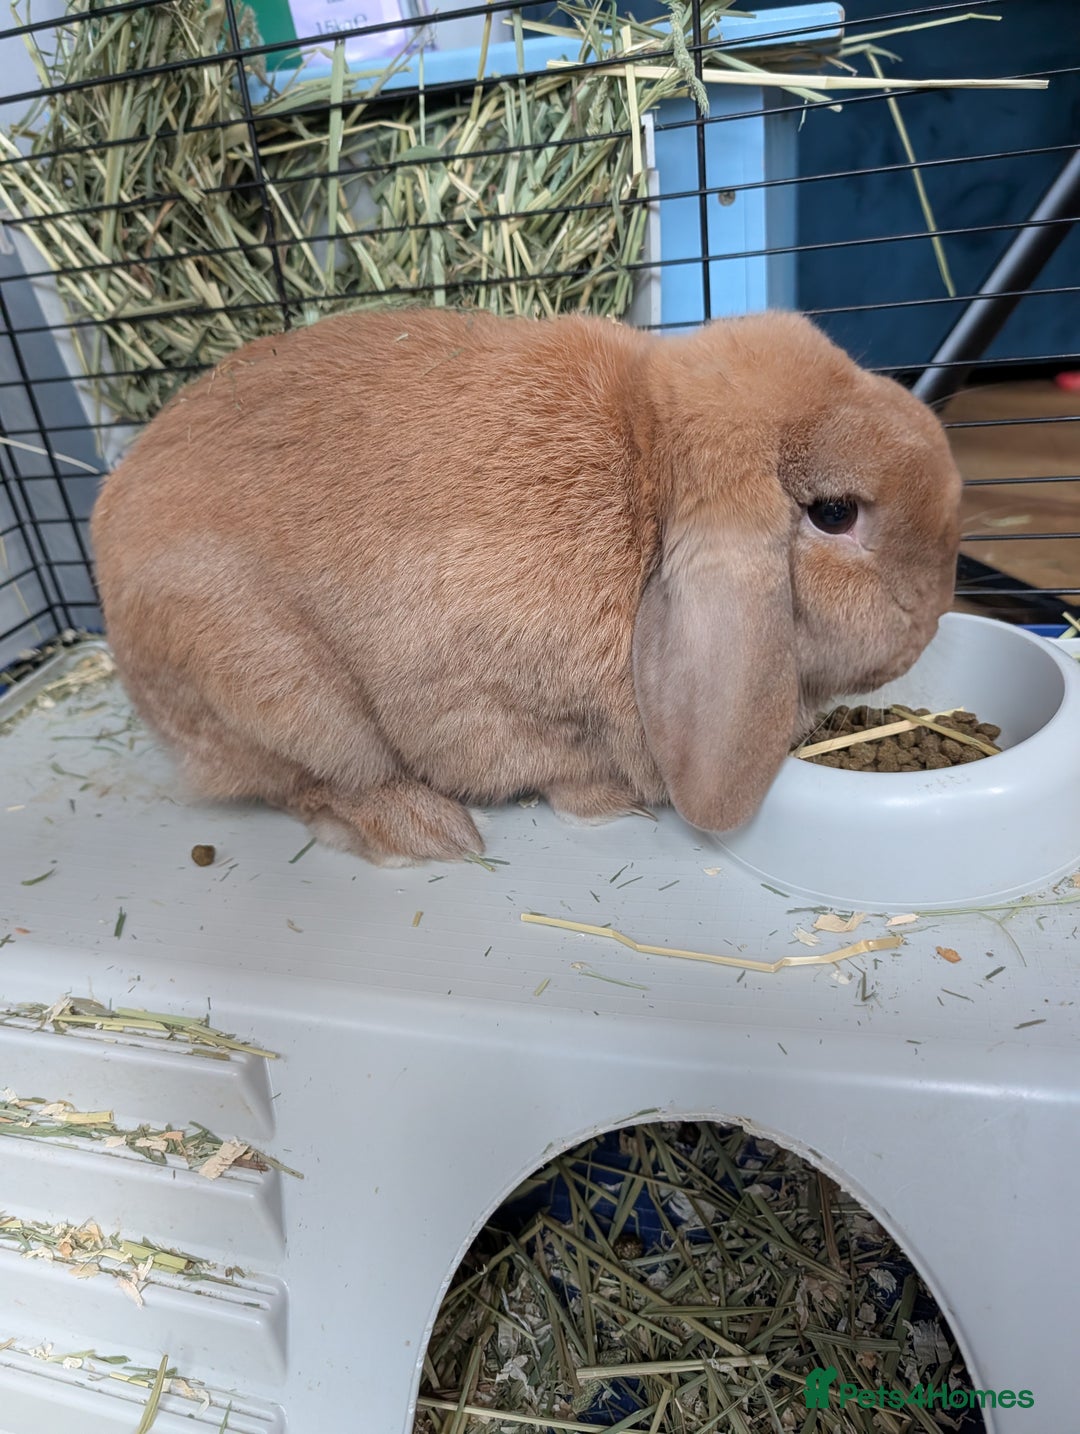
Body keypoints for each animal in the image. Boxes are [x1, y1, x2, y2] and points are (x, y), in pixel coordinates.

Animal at [90, 307, 962, 865]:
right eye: (835, 513)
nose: (935, 614)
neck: (646, 482)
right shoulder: (493, 704)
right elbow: (554, 770)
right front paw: (612, 802)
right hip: (284, 704)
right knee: (307, 785)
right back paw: (426, 835)